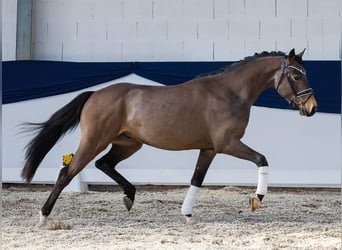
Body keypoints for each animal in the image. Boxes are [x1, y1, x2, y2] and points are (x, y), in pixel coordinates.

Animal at [22, 48, 318, 227]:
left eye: (305, 74)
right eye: (295, 76)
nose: (312, 107)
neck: (230, 92)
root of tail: (94, 94)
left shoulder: (209, 149)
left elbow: (197, 179)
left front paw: (187, 215)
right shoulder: (227, 144)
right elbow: (262, 159)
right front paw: (256, 199)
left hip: (128, 143)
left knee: (104, 164)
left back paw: (129, 197)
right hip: (94, 142)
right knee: (67, 173)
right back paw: (43, 217)